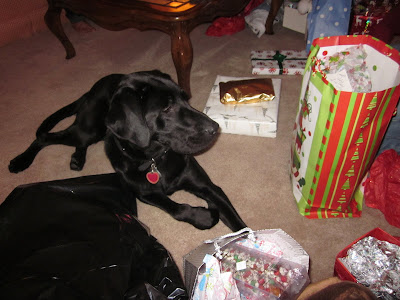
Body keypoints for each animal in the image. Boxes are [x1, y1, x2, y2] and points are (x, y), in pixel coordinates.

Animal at [10, 71, 247, 231]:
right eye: (167, 108)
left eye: (185, 98)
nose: (215, 128)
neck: (153, 158)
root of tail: (93, 88)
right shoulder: (145, 194)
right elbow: (177, 209)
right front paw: (204, 217)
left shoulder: (209, 187)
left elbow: (239, 225)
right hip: (87, 130)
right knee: (44, 137)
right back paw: (21, 161)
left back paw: (77, 158)